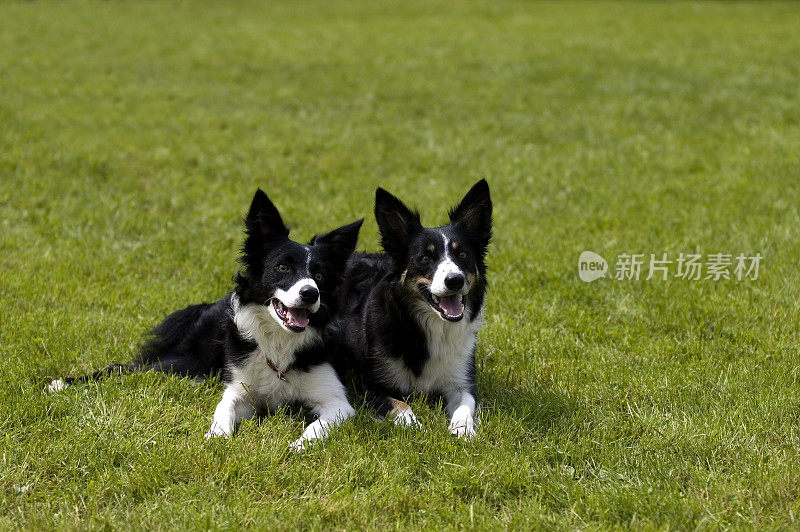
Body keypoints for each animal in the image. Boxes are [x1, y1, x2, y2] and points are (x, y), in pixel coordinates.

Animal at [50, 189, 362, 450]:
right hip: (189, 359)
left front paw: (298, 445)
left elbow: (317, 425)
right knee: (126, 368)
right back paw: (61, 383)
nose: (310, 293)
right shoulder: (240, 388)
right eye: (283, 267)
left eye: (320, 275)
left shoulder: (338, 403)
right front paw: (217, 437)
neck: (279, 342)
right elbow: (224, 406)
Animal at [332, 179, 490, 436]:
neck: (432, 327)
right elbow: (402, 406)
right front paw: (417, 429)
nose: (454, 280)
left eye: (463, 255)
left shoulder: (462, 382)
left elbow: (465, 406)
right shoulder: (372, 388)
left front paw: (463, 432)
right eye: (425, 258)